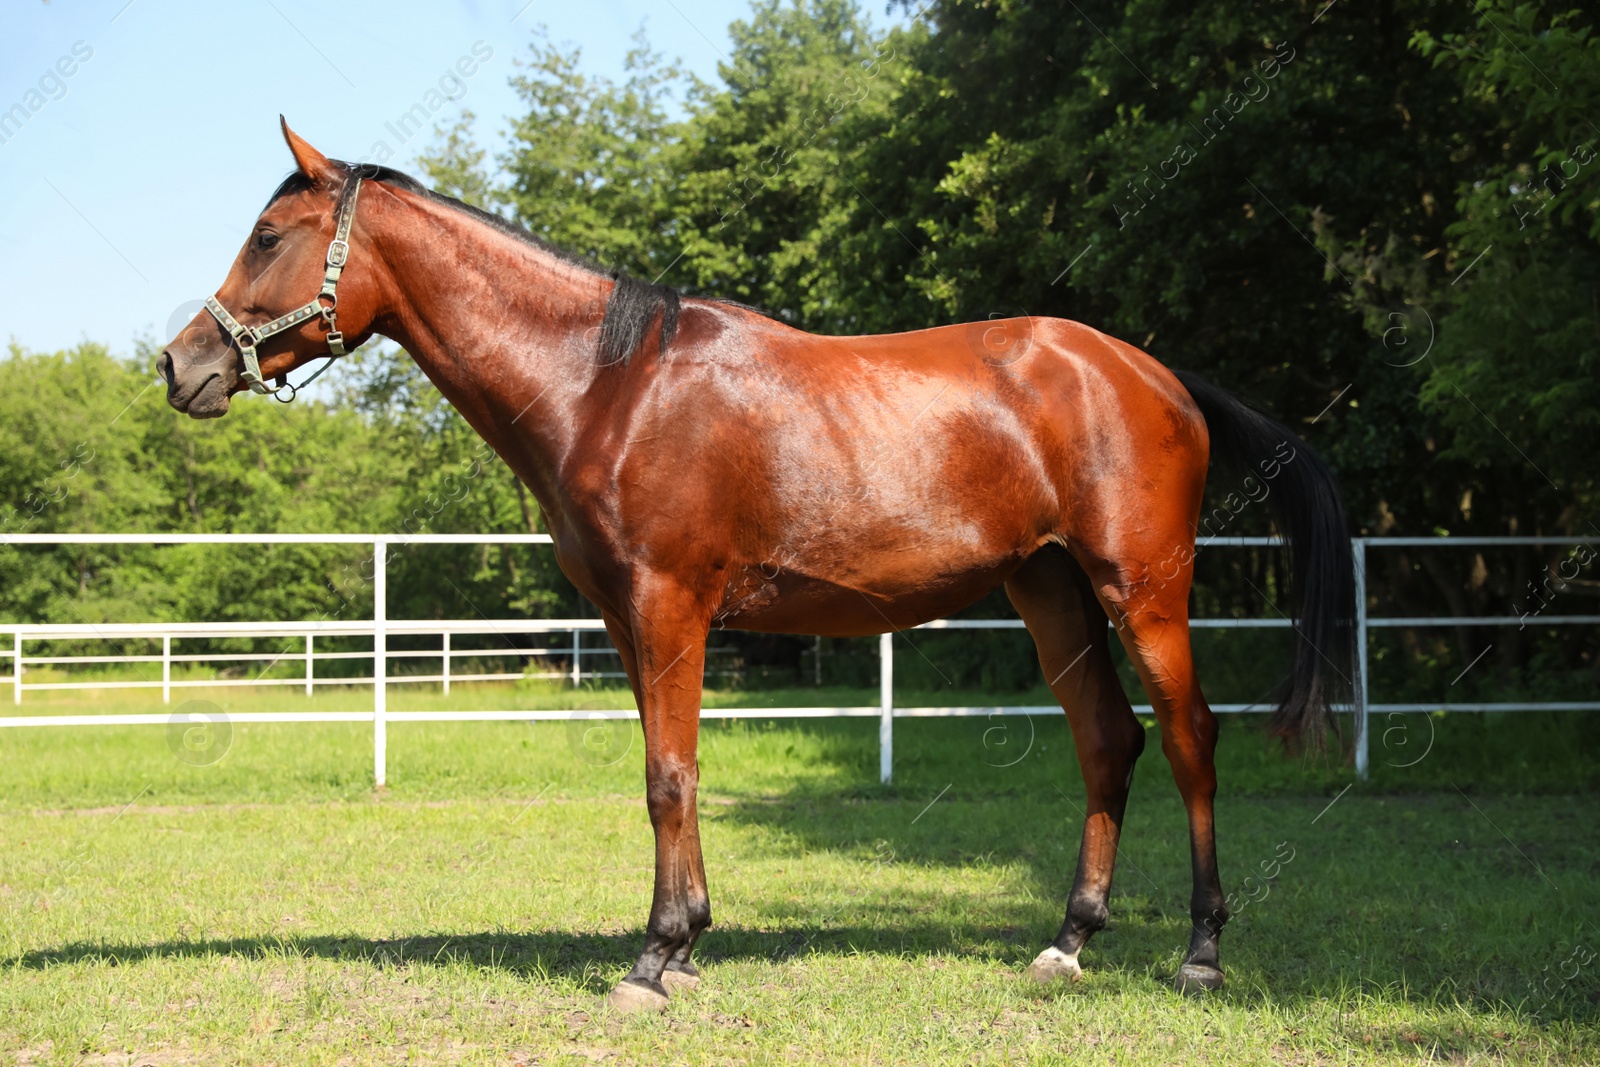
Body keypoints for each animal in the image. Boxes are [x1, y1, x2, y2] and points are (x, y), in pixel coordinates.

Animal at [156, 120, 1356, 1017]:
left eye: (267, 234)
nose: (180, 364)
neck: (609, 383)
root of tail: (1158, 374)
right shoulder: (631, 620)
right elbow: (671, 768)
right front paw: (686, 944)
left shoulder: (669, 604)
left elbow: (668, 774)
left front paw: (654, 958)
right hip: (1050, 591)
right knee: (1109, 742)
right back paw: (1068, 941)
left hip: (1141, 591)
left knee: (1191, 740)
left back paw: (1199, 951)